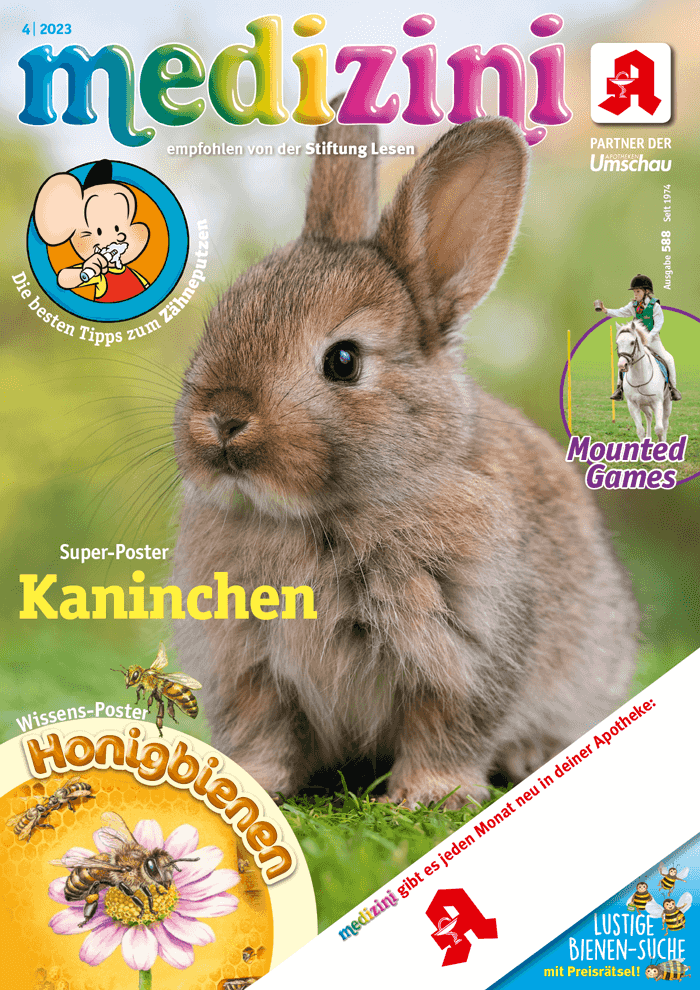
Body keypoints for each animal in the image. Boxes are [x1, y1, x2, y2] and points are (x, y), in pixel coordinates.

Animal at [172, 107, 638, 809]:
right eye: (216, 323)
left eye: (343, 360)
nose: (222, 420)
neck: (324, 514)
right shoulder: (251, 668)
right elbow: (265, 732)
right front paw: (255, 784)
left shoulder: (467, 652)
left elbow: (445, 730)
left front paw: (427, 796)